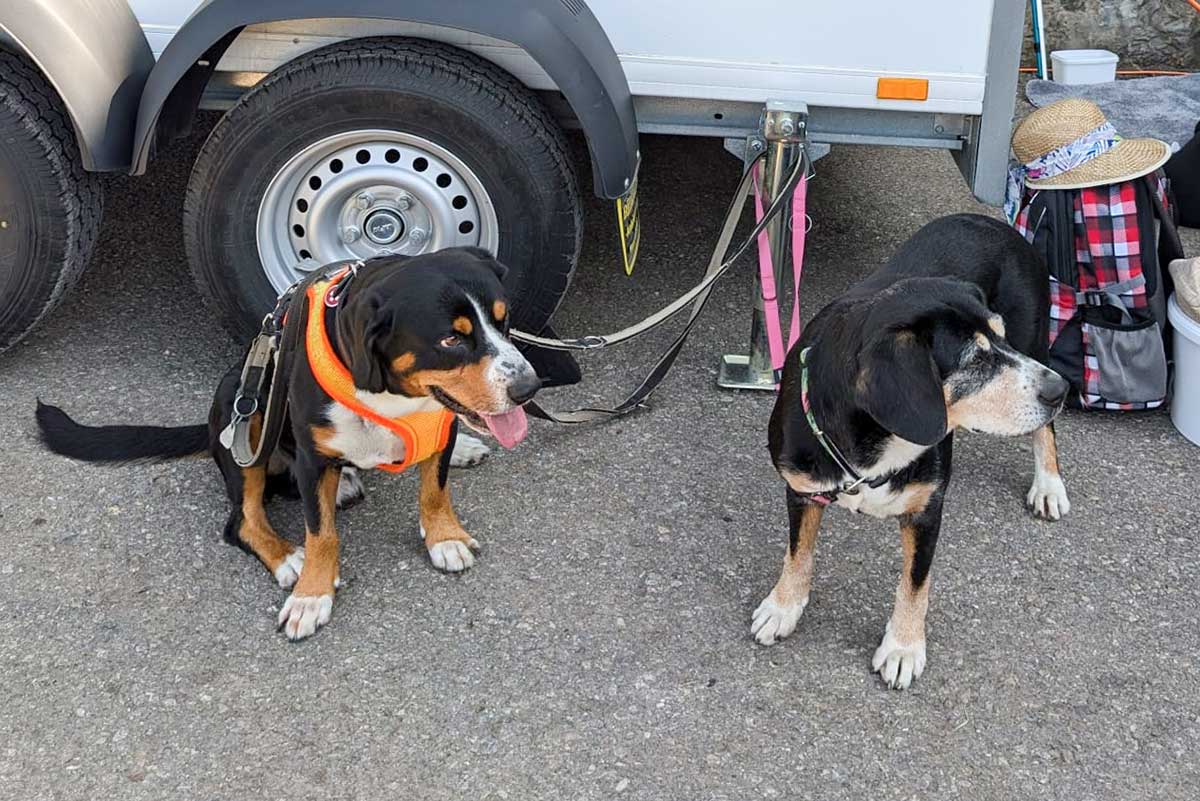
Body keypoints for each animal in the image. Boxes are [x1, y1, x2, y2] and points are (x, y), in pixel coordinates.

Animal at [35, 247, 540, 642]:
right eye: (451, 338)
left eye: (504, 322)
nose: (528, 388)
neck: (390, 397)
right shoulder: (312, 461)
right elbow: (322, 534)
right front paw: (311, 595)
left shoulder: (439, 422)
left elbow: (434, 489)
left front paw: (444, 536)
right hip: (244, 405)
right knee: (243, 520)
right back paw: (289, 557)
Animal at [753, 212, 1075, 690]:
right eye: (975, 361)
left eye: (998, 341)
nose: (1061, 389)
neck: (872, 442)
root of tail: (994, 222)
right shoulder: (803, 489)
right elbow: (799, 553)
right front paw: (783, 606)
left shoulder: (927, 510)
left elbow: (914, 584)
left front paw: (903, 647)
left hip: (1035, 339)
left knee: (1045, 430)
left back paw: (1049, 484)